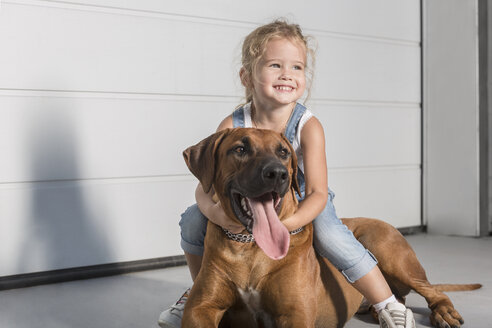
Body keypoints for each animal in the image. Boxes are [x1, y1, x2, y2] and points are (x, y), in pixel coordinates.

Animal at [182, 128, 480, 328]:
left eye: (282, 152)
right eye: (240, 149)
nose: (277, 173)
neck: (250, 247)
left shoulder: (295, 313)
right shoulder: (200, 308)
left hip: (386, 251)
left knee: (432, 291)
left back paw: (440, 312)